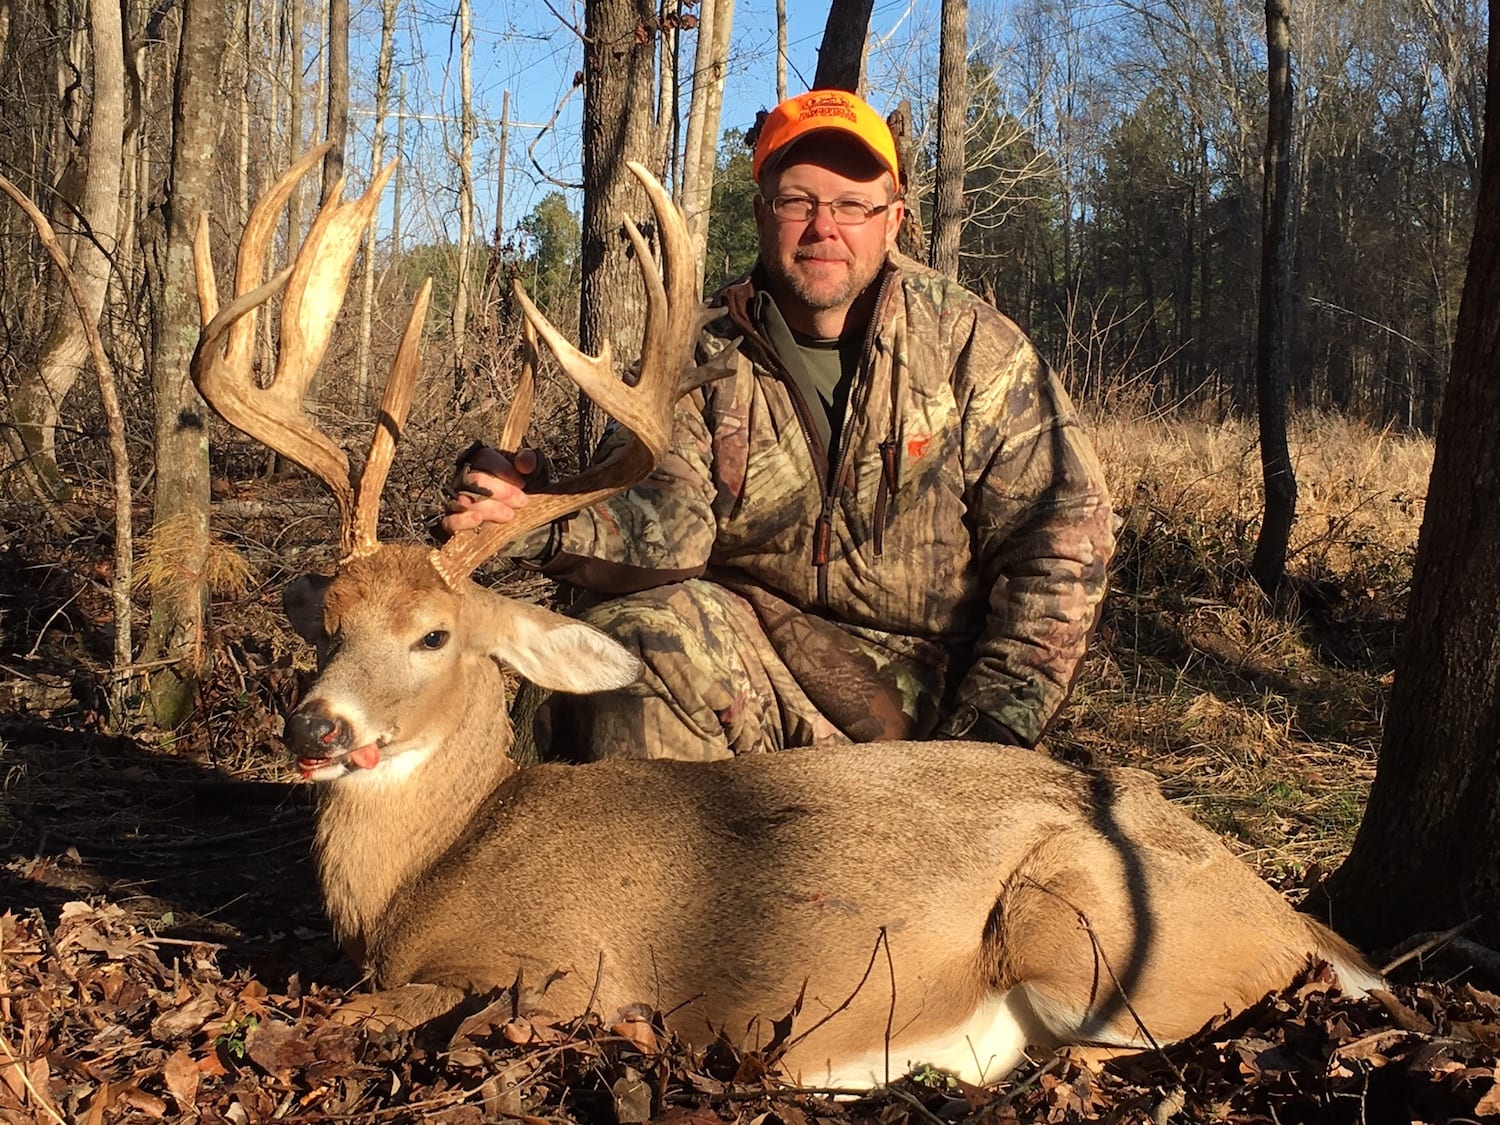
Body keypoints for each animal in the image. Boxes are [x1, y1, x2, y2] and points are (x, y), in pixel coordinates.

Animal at [190, 145, 1380, 1091]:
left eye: (434, 635)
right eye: (328, 622)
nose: (314, 726)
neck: (431, 870)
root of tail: (1285, 913)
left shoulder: (565, 971)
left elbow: (385, 1011)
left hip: (1084, 918)